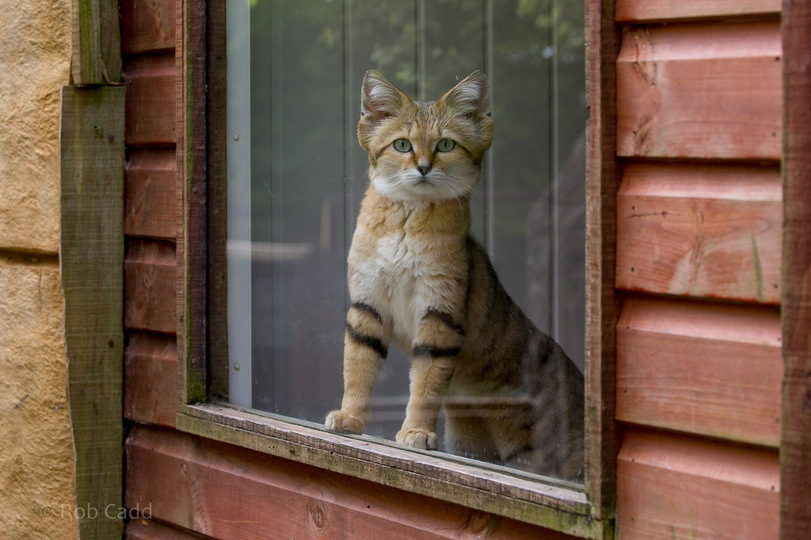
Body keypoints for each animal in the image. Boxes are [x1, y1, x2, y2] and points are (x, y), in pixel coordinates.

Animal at [324, 69, 584, 478]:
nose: (423, 166)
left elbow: (427, 383)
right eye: (402, 144)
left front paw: (415, 431)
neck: (406, 222)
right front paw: (350, 418)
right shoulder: (367, 307)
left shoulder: (439, 313)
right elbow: (357, 367)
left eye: (445, 144)